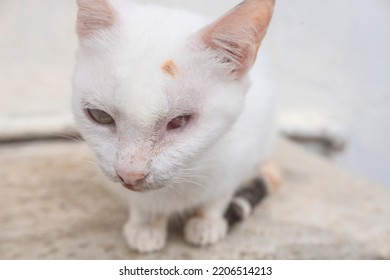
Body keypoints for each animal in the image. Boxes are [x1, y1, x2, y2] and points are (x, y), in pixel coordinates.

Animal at [72, 0, 278, 253]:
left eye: (178, 121)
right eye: (100, 116)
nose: (130, 175)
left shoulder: (240, 156)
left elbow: (218, 195)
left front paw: (207, 221)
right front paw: (146, 224)